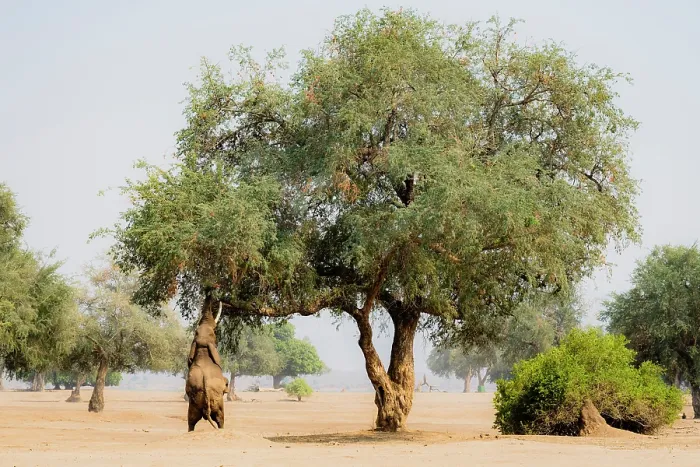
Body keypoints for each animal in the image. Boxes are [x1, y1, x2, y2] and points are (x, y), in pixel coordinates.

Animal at [185, 297, 229, 431]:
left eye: (195, 332)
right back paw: (221, 429)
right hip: (217, 402)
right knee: (220, 419)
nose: (215, 299)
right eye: (213, 333)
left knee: (191, 421)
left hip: (194, 404)